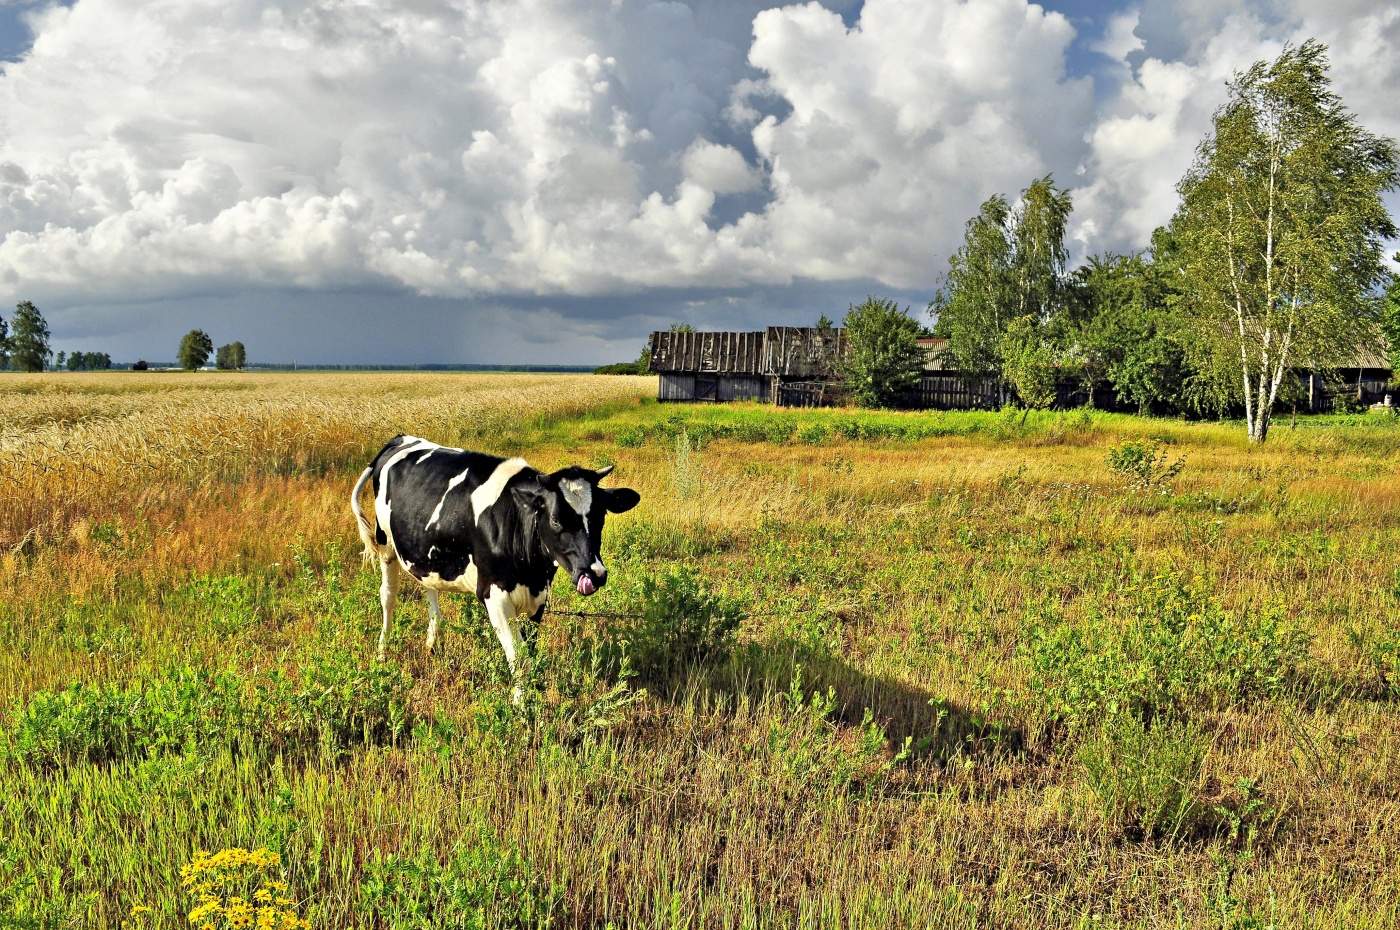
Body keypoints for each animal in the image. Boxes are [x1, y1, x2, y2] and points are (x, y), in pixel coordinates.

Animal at [350, 436, 641, 697]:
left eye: (601, 516)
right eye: (556, 520)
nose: (594, 574)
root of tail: (399, 439)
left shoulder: (540, 596)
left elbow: (530, 650)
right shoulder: (494, 596)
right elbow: (519, 658)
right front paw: (521, 707)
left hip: (422, 552)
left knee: (429, 590)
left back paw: (431, 644)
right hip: (385, 545)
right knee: (388, 597)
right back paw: (382, 652)